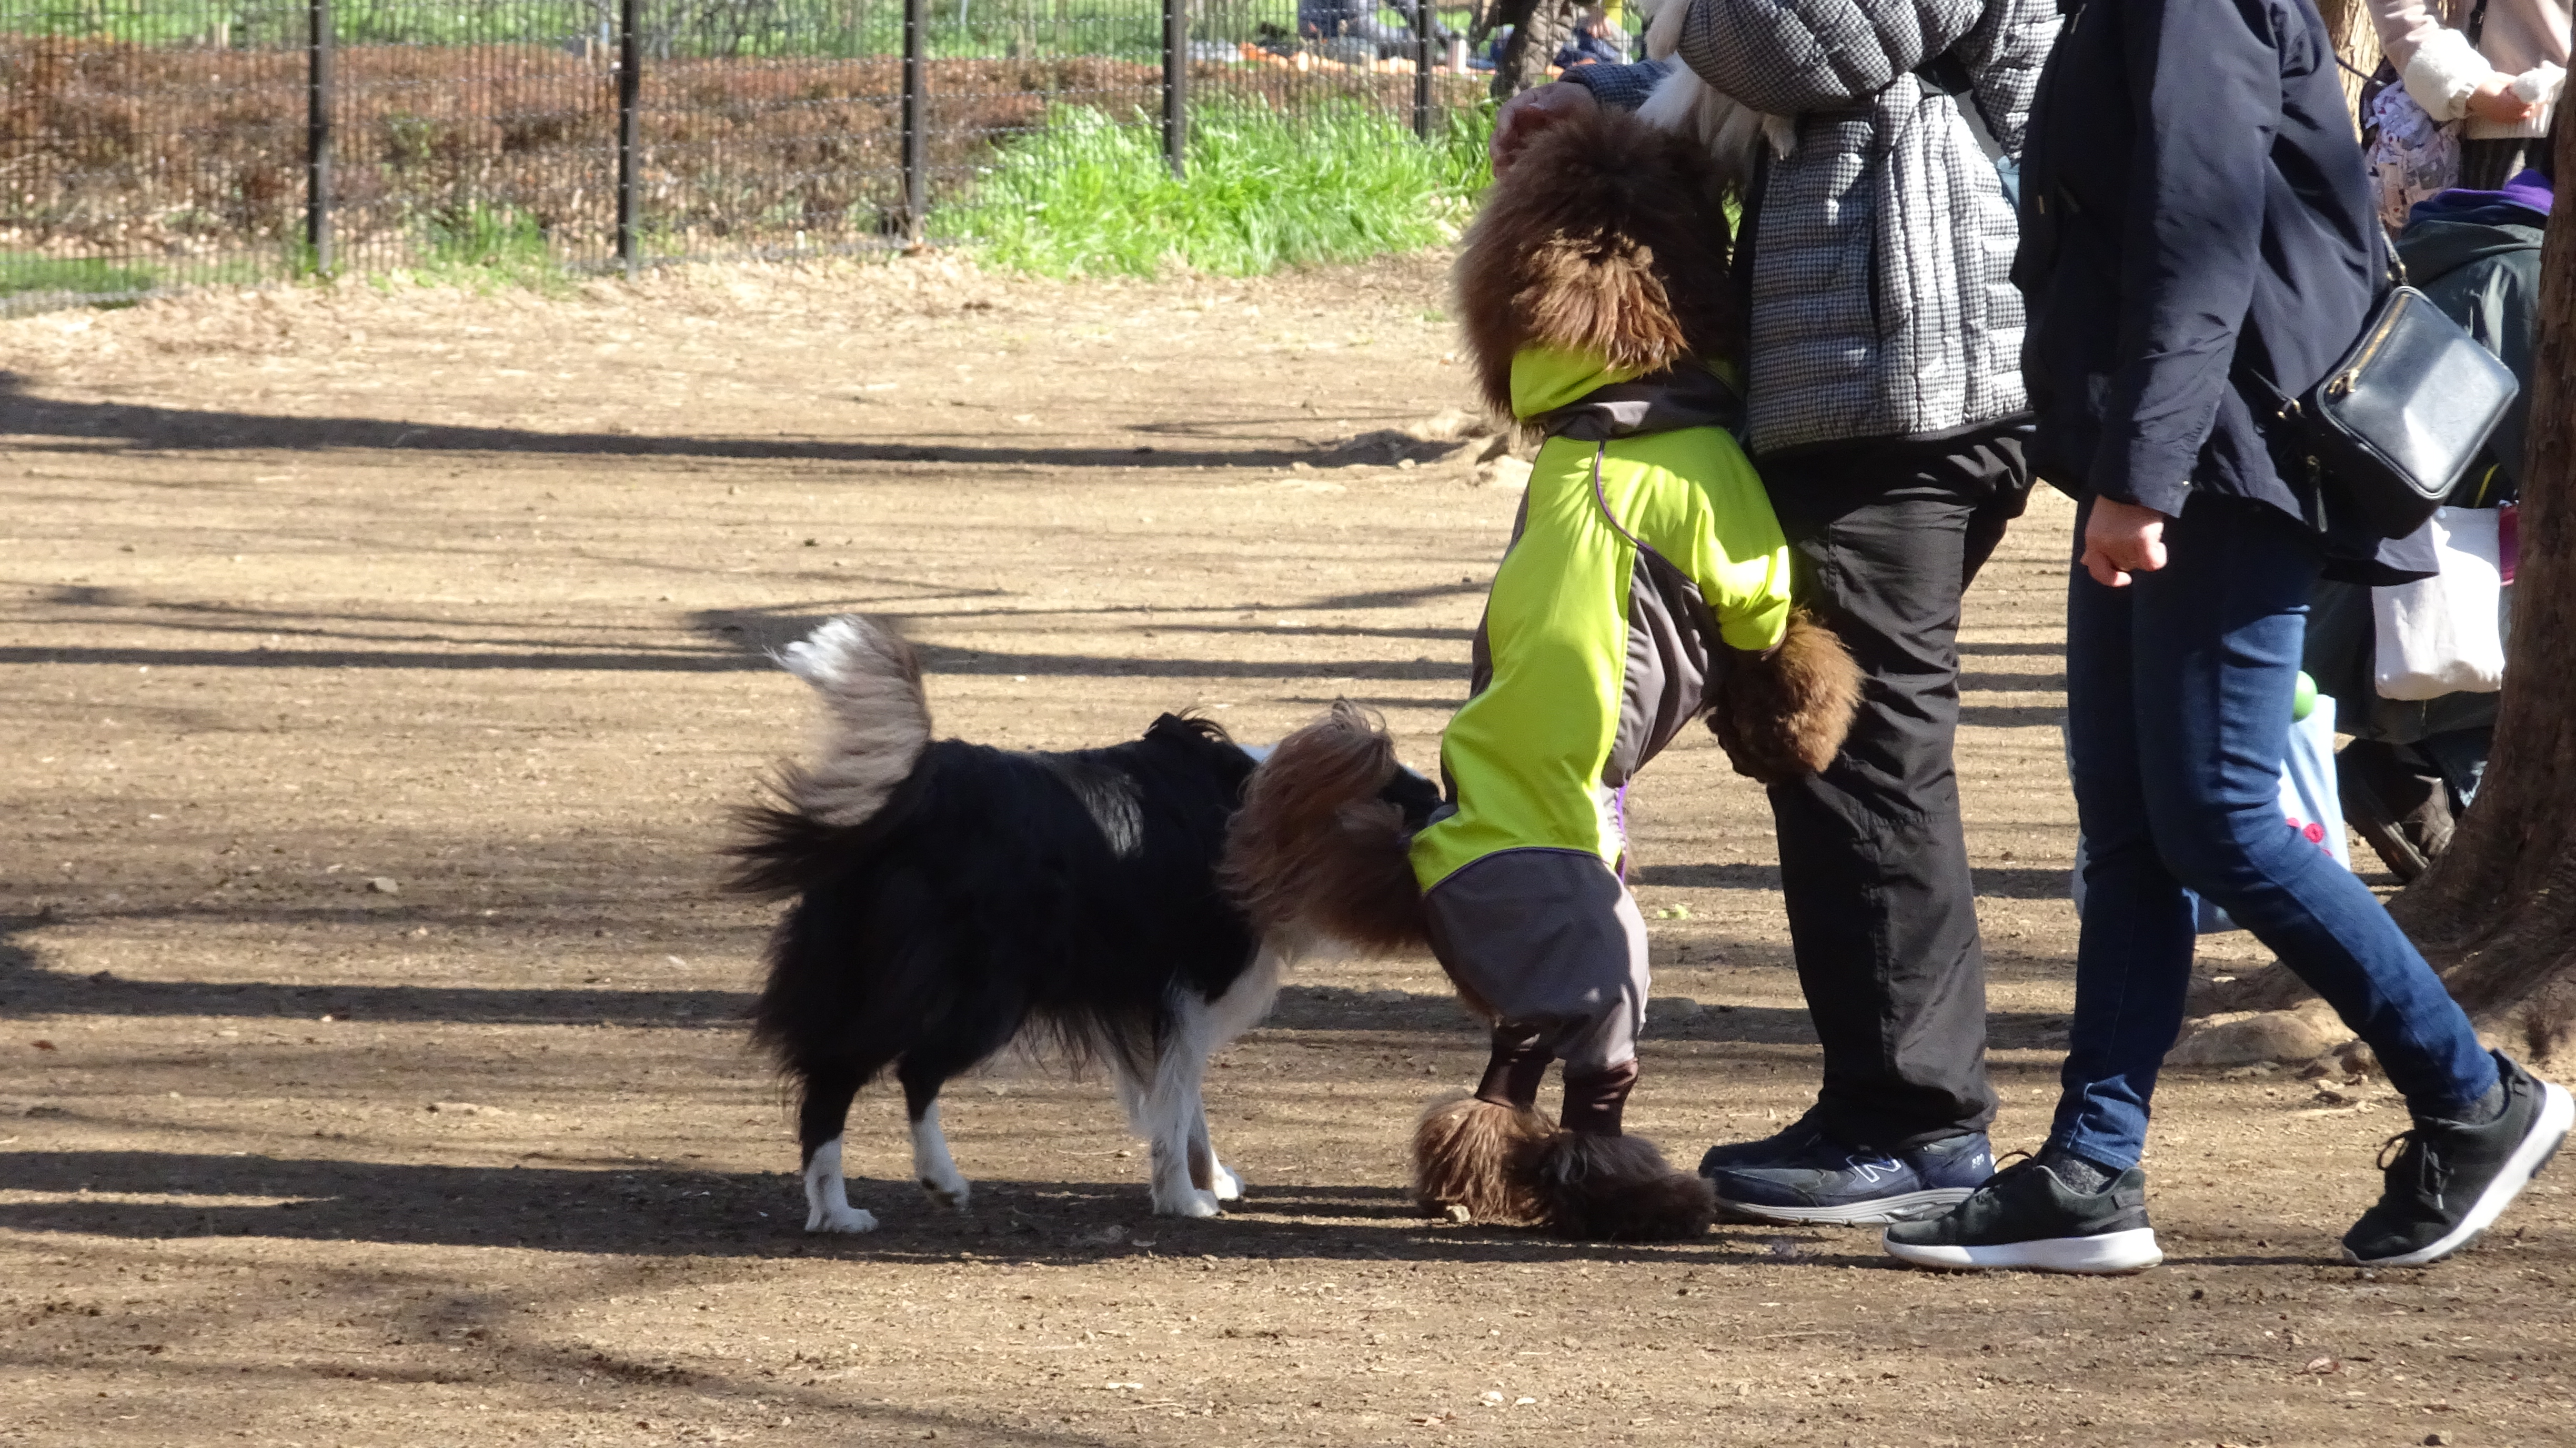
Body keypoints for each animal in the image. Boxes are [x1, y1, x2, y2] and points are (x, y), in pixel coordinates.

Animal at [726, 616, 1439, 1232]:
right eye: (1420, 804)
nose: (1448, 807)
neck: (1271, 816)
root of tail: (914, 796)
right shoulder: (1186, 989)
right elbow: (1176, 1100)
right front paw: (1185, 1197)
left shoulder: (1152, 999)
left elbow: (1182, 1100)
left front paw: (1209, 1176)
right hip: (980, 990)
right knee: (910, 1069)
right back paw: (939, 1181)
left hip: (858, 975)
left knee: (829, 1080)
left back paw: (835, 1211)